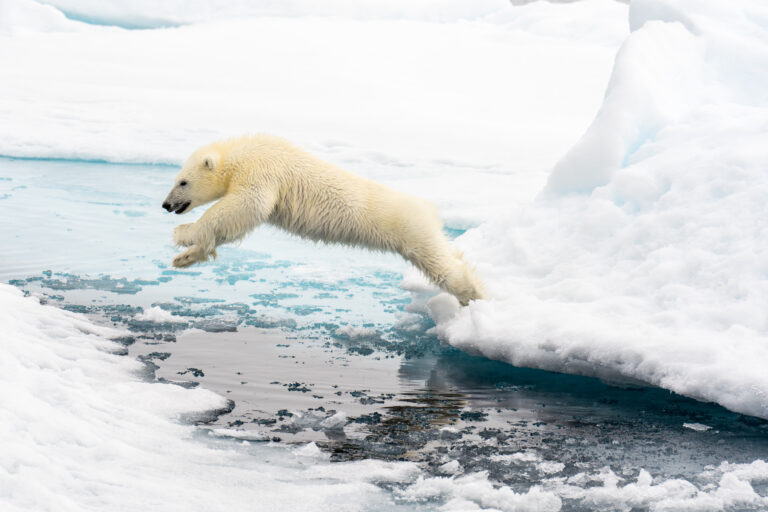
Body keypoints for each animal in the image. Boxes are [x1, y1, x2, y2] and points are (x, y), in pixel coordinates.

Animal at [163, 134, 486, 306]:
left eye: (182, 182)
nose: (166, 205)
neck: (240, 152)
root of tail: (429, 209)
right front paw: (184, 258)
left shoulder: (262, 169)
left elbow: (246, 206)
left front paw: (183, 233)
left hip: (410, 228)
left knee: (441, 265)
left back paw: (473, 295)